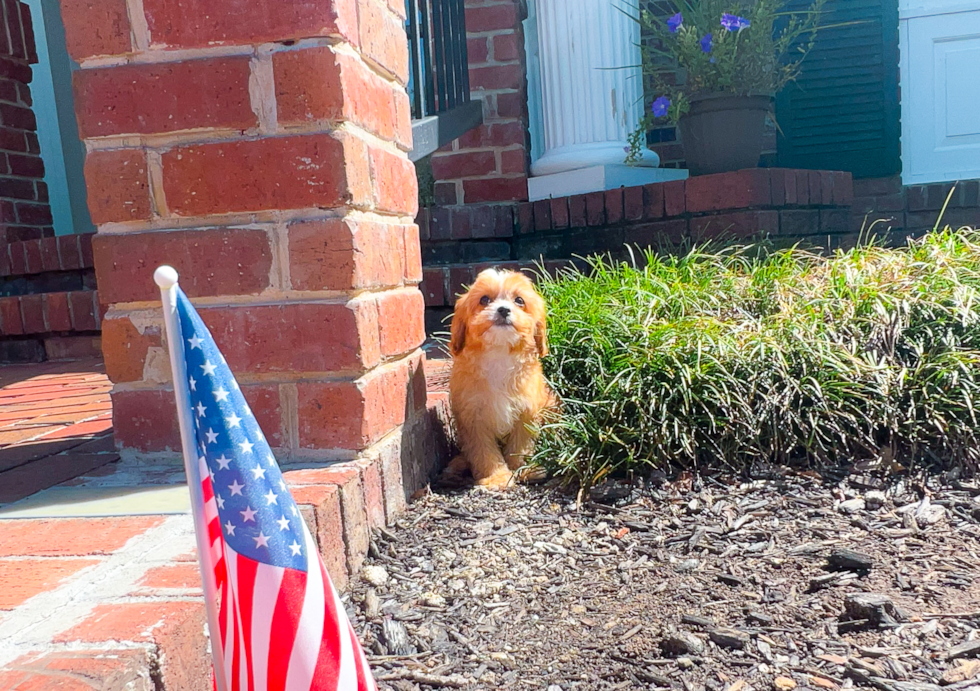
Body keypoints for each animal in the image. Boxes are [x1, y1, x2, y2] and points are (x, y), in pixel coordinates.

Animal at [446, 270, 556, 492]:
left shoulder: (527, 412)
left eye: (519, 300)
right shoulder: (473, 417)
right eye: (484, 299)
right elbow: (483, 450)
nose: (504, 310)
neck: (499, 353)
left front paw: (521, 469)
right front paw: (495, 477)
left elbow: (521, 444)